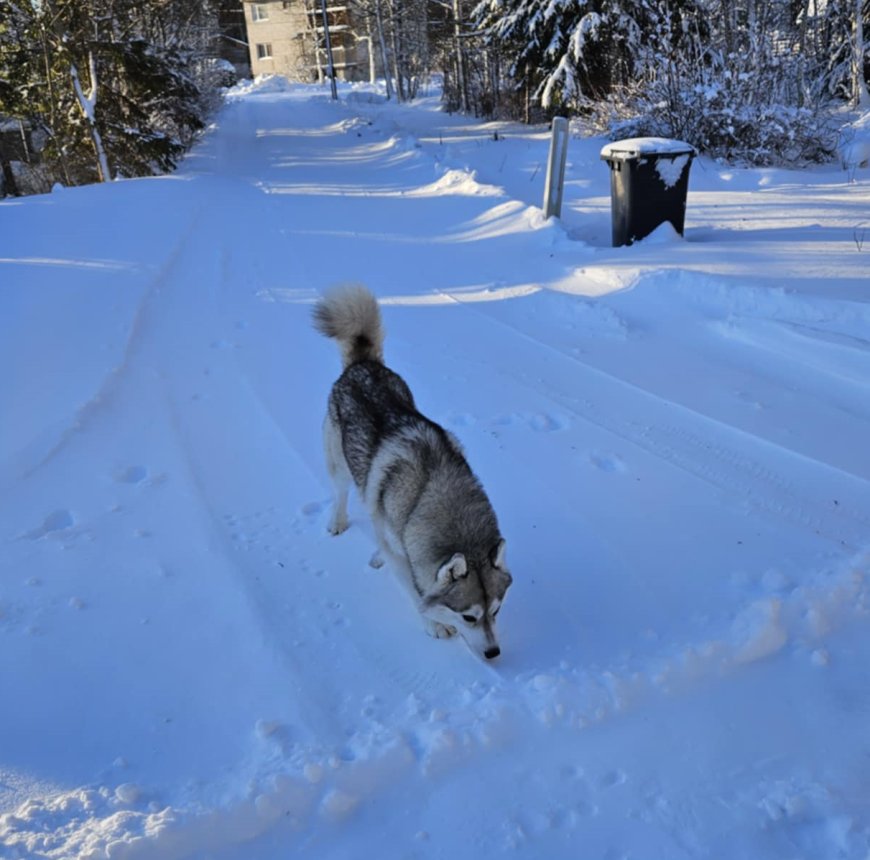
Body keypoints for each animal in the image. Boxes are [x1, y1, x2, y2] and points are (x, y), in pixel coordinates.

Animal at [316, 286, 510, 660]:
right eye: (469, 617)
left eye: (496, 611)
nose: (493, 653)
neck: (430, 495)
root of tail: (364, 364)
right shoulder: (404, 555)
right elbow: (413, 589)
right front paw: (433, 625)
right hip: (340, 462)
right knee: (341, 492)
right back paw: (338, 520)